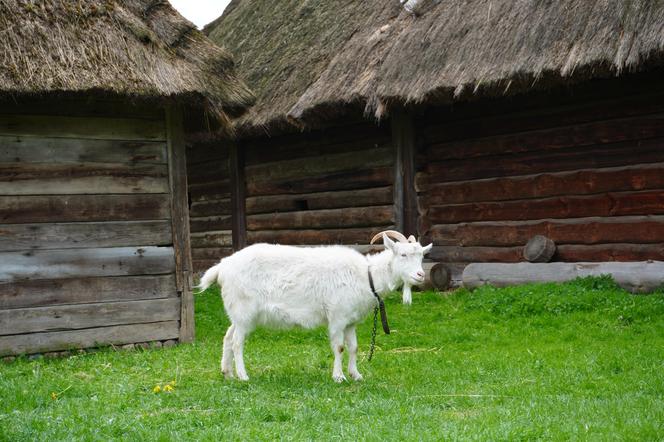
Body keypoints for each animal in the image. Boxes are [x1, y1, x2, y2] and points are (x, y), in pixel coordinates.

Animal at [197, 230, 434, 382]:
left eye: (421, 256)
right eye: (403, 254)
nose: (421, 275)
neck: (367, 275)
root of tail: (223, 267)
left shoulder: (350, 322)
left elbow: (354, 347)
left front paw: (356, 375)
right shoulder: (337, 317)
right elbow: (339, 347)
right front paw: (339, 377)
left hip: (238, 313)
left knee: (228, 336)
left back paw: (227, 373)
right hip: (244, 309)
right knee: (237, 342)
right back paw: (243, 376)